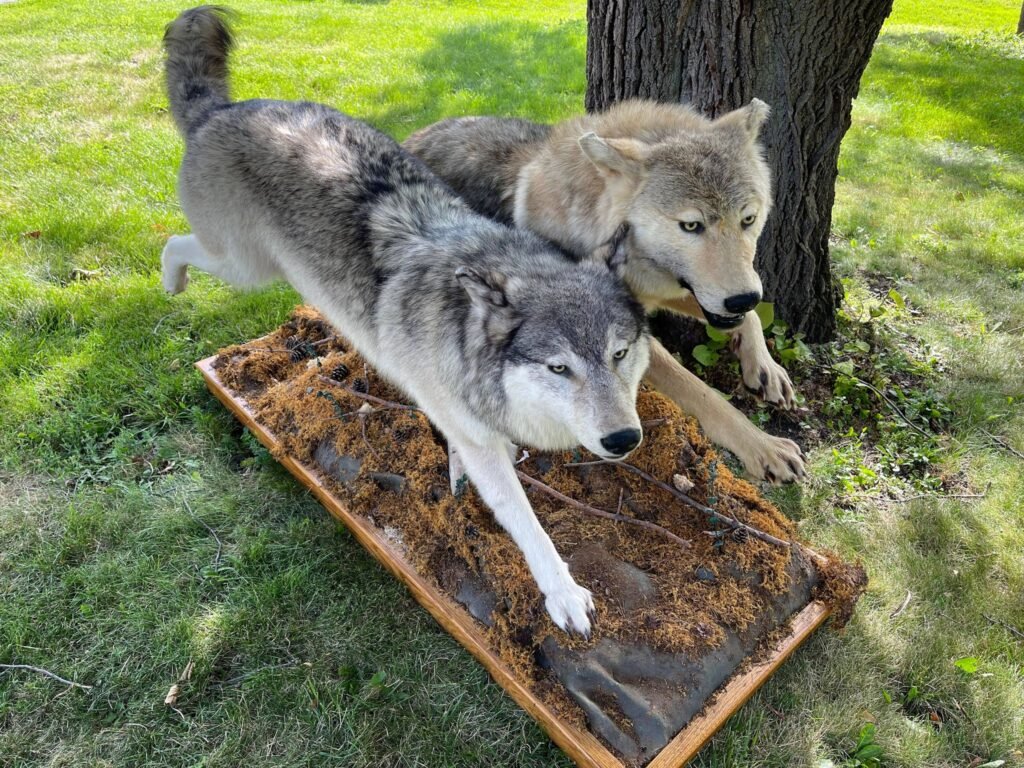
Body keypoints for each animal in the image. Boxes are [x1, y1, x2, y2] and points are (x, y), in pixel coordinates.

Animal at [161, 6, 651, 635]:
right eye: (559, 368)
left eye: (619, 354)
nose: (623, 439)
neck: (465, 336)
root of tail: (221, 112)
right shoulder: (478, 438)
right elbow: (525, 522)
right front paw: (562, 593)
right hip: (243, 267)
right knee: (174, 245)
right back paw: (170, 282)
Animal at [405, 102, 807, 483]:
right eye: (691, 226)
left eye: (748, 219)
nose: (742, 297)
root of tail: (414, 134)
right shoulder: (630, 327)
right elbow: (703, 393)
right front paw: (764, 447)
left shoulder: (663, 293)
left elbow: (750, 319)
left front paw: (767, 369)